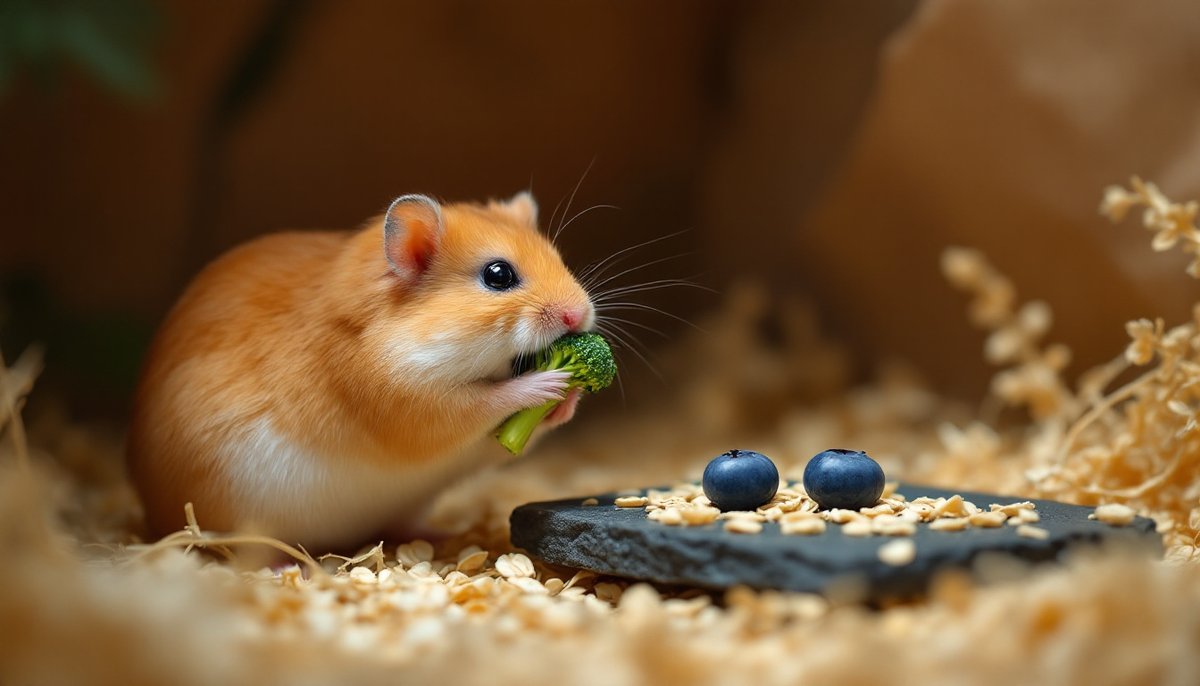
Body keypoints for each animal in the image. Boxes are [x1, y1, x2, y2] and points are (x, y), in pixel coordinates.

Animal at [127, 192, 594, 549]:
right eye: (498, 275)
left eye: (557, 258)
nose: (579, 315)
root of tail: (151, 516)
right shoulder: (415, 407)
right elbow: (486, 402)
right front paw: (550, 382)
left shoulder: (475, 445)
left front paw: (570, 396)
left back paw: (441, 535)